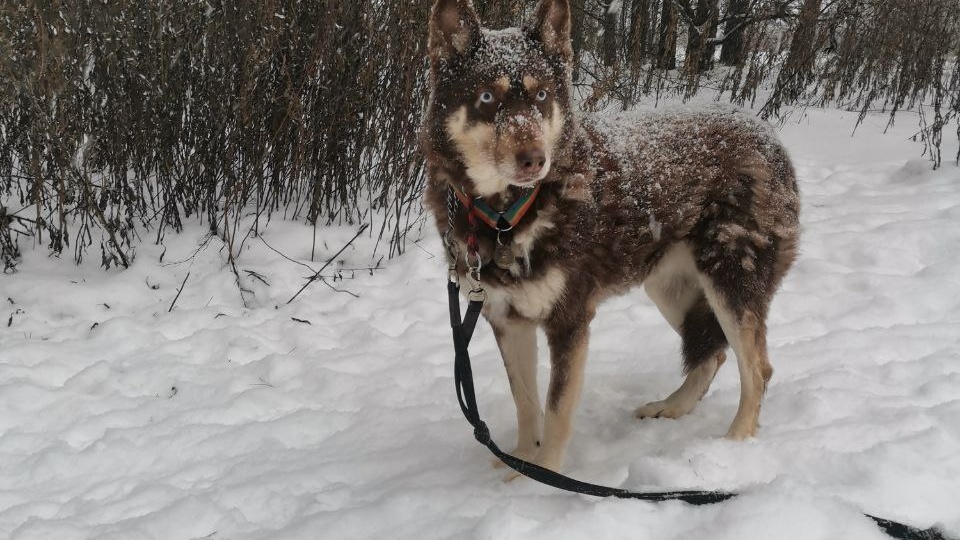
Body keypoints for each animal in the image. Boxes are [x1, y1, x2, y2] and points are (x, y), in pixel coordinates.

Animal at [422, 0, 804, 476]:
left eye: (542, 96)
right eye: (487, 98)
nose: (535, 160)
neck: (508, 215)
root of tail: (766, 134)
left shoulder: (569, 322)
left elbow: (556, 409)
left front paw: (542, 477)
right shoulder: (508, 321)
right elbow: (526, 404)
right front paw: (523, 463)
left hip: (730, 283)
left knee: (758, 369)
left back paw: (735, 445)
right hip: (672, 289)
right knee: (713, 354)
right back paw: (672, 407)